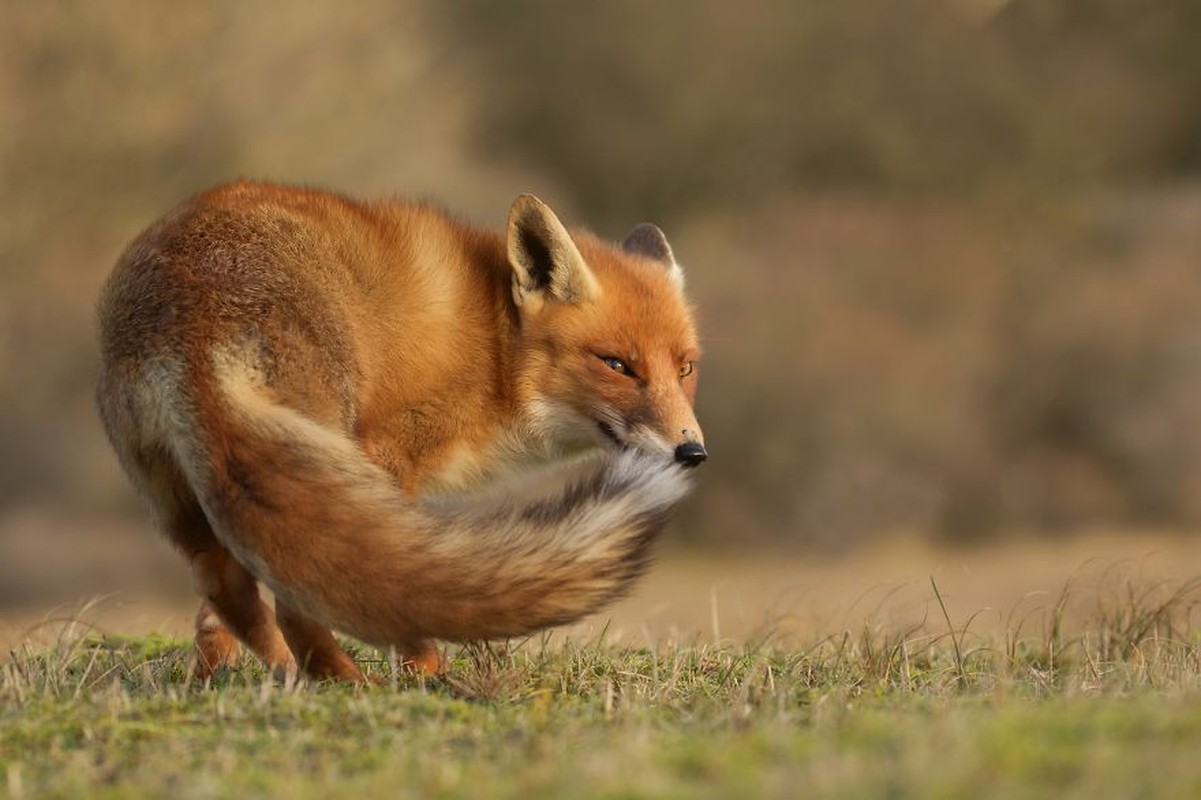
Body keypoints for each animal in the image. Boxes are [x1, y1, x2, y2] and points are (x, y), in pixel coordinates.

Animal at [100, 180, 701, 677]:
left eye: (686, 368)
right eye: (617, 365)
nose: (692, 451)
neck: (494, 351)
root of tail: (196, 314)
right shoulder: (390, 452)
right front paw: (420, 670)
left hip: (183, 492)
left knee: (224, 589)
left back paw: (243, 677)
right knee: (300, 599)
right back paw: (346, 683)